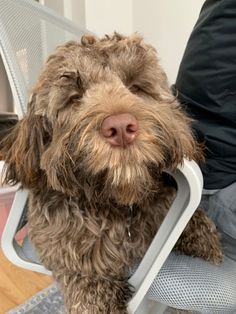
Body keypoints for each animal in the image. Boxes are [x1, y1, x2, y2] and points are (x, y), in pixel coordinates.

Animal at [0, 33, 222, 314]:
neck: (116, 202)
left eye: (135, 87)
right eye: (74, 98)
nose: (120, 127)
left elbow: (201, 230)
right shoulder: (74, 259)